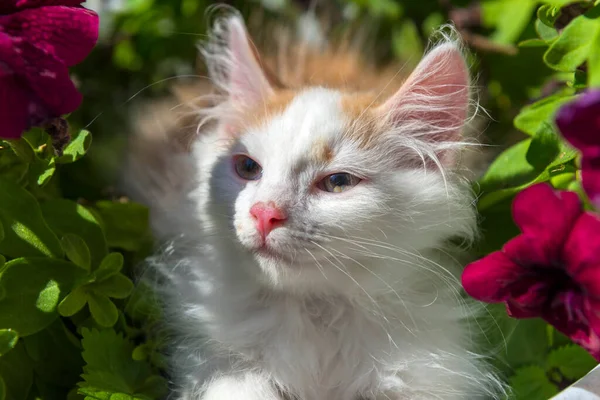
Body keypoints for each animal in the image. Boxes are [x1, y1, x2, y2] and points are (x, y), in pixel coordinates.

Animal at [125, 10, 502, 400]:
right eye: (248, 168)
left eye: (337, 183)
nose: (264, 213)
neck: (316, 313)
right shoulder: (215, 357)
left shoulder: (426, 370)